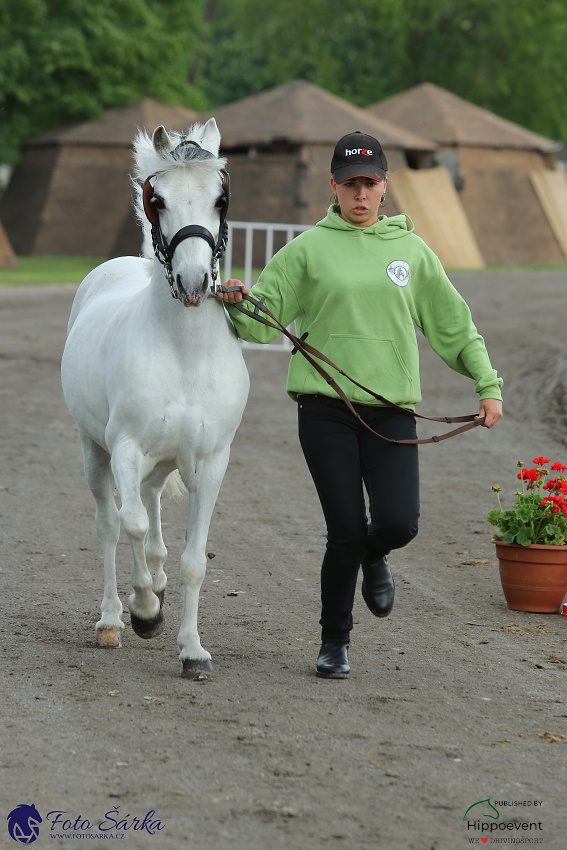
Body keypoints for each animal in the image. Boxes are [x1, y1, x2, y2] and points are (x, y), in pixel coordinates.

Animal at [61, 119, 250, 676]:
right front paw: (145, 613)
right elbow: (133, 526)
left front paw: (192, 650)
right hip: (95, 451)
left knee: (150, 504)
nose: (193, 281)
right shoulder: (124, 448)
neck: (184, 354)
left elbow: (193, 560)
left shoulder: (212, 461)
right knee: (111, 524)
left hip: (163, 461)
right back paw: (111, 619)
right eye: (158, 199)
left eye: (220, 198)